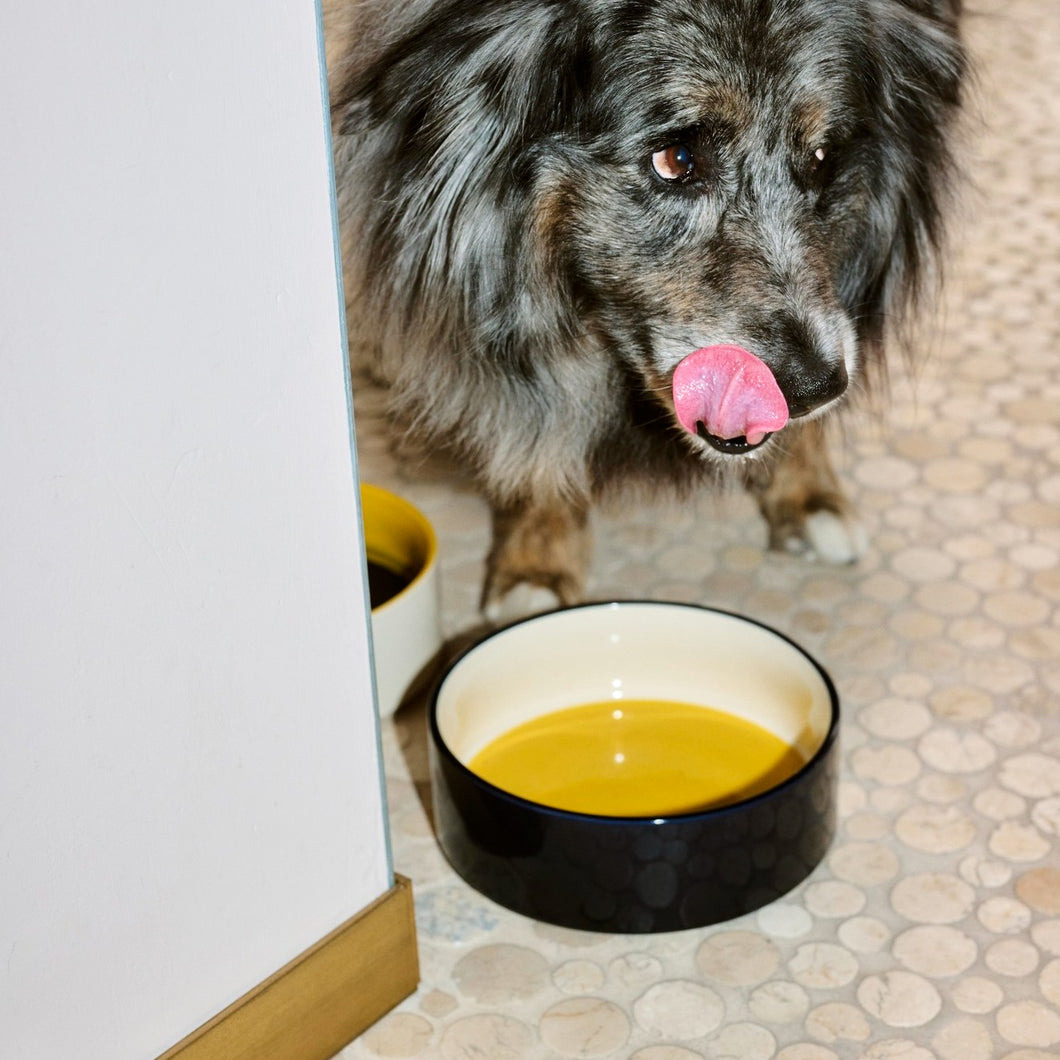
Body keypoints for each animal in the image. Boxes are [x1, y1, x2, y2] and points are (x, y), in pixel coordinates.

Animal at [326, 0, 966, 619]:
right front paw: (537, 560)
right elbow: (535, 404)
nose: (814, 390)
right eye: (676, 159)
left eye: (823, 157)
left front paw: (808, 493)